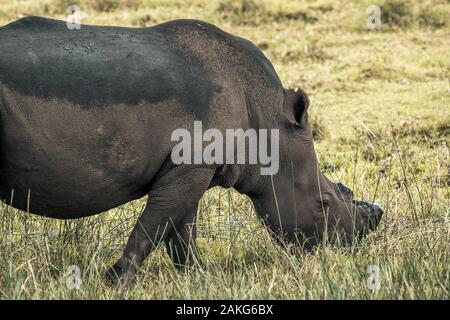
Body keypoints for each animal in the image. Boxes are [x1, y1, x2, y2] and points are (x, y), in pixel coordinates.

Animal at [0, 16, 384, 282]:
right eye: (324, 203)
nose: (347, 245)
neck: (269, 125)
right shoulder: (191, 168)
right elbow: (154, 227)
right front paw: (117, 280)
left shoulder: (194, 167)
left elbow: (180, 229)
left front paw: (197, 276)